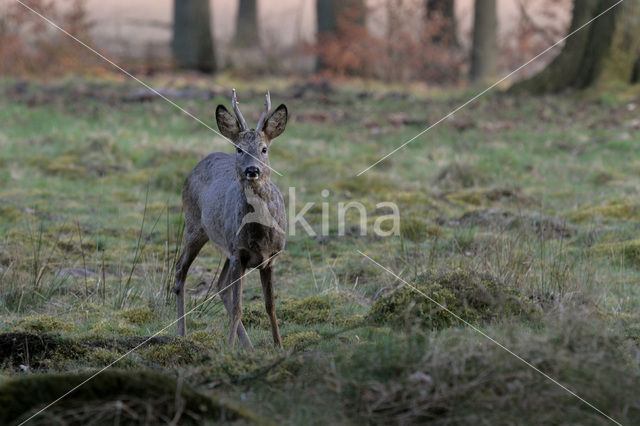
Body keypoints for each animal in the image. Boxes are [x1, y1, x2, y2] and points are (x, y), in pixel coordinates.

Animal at [174, 88, 286, 348]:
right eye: (239, 149)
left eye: (264, 149)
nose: (252, 170)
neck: (260, 235)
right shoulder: (238, 254)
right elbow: (238, 308)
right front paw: (229, 348)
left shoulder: (270, 257)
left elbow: (271, 306)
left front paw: (279, 345)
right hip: (195, 226)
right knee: (180, 271)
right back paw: (182, 334)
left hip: (224, 244)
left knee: (220, 285)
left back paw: (249, 346)